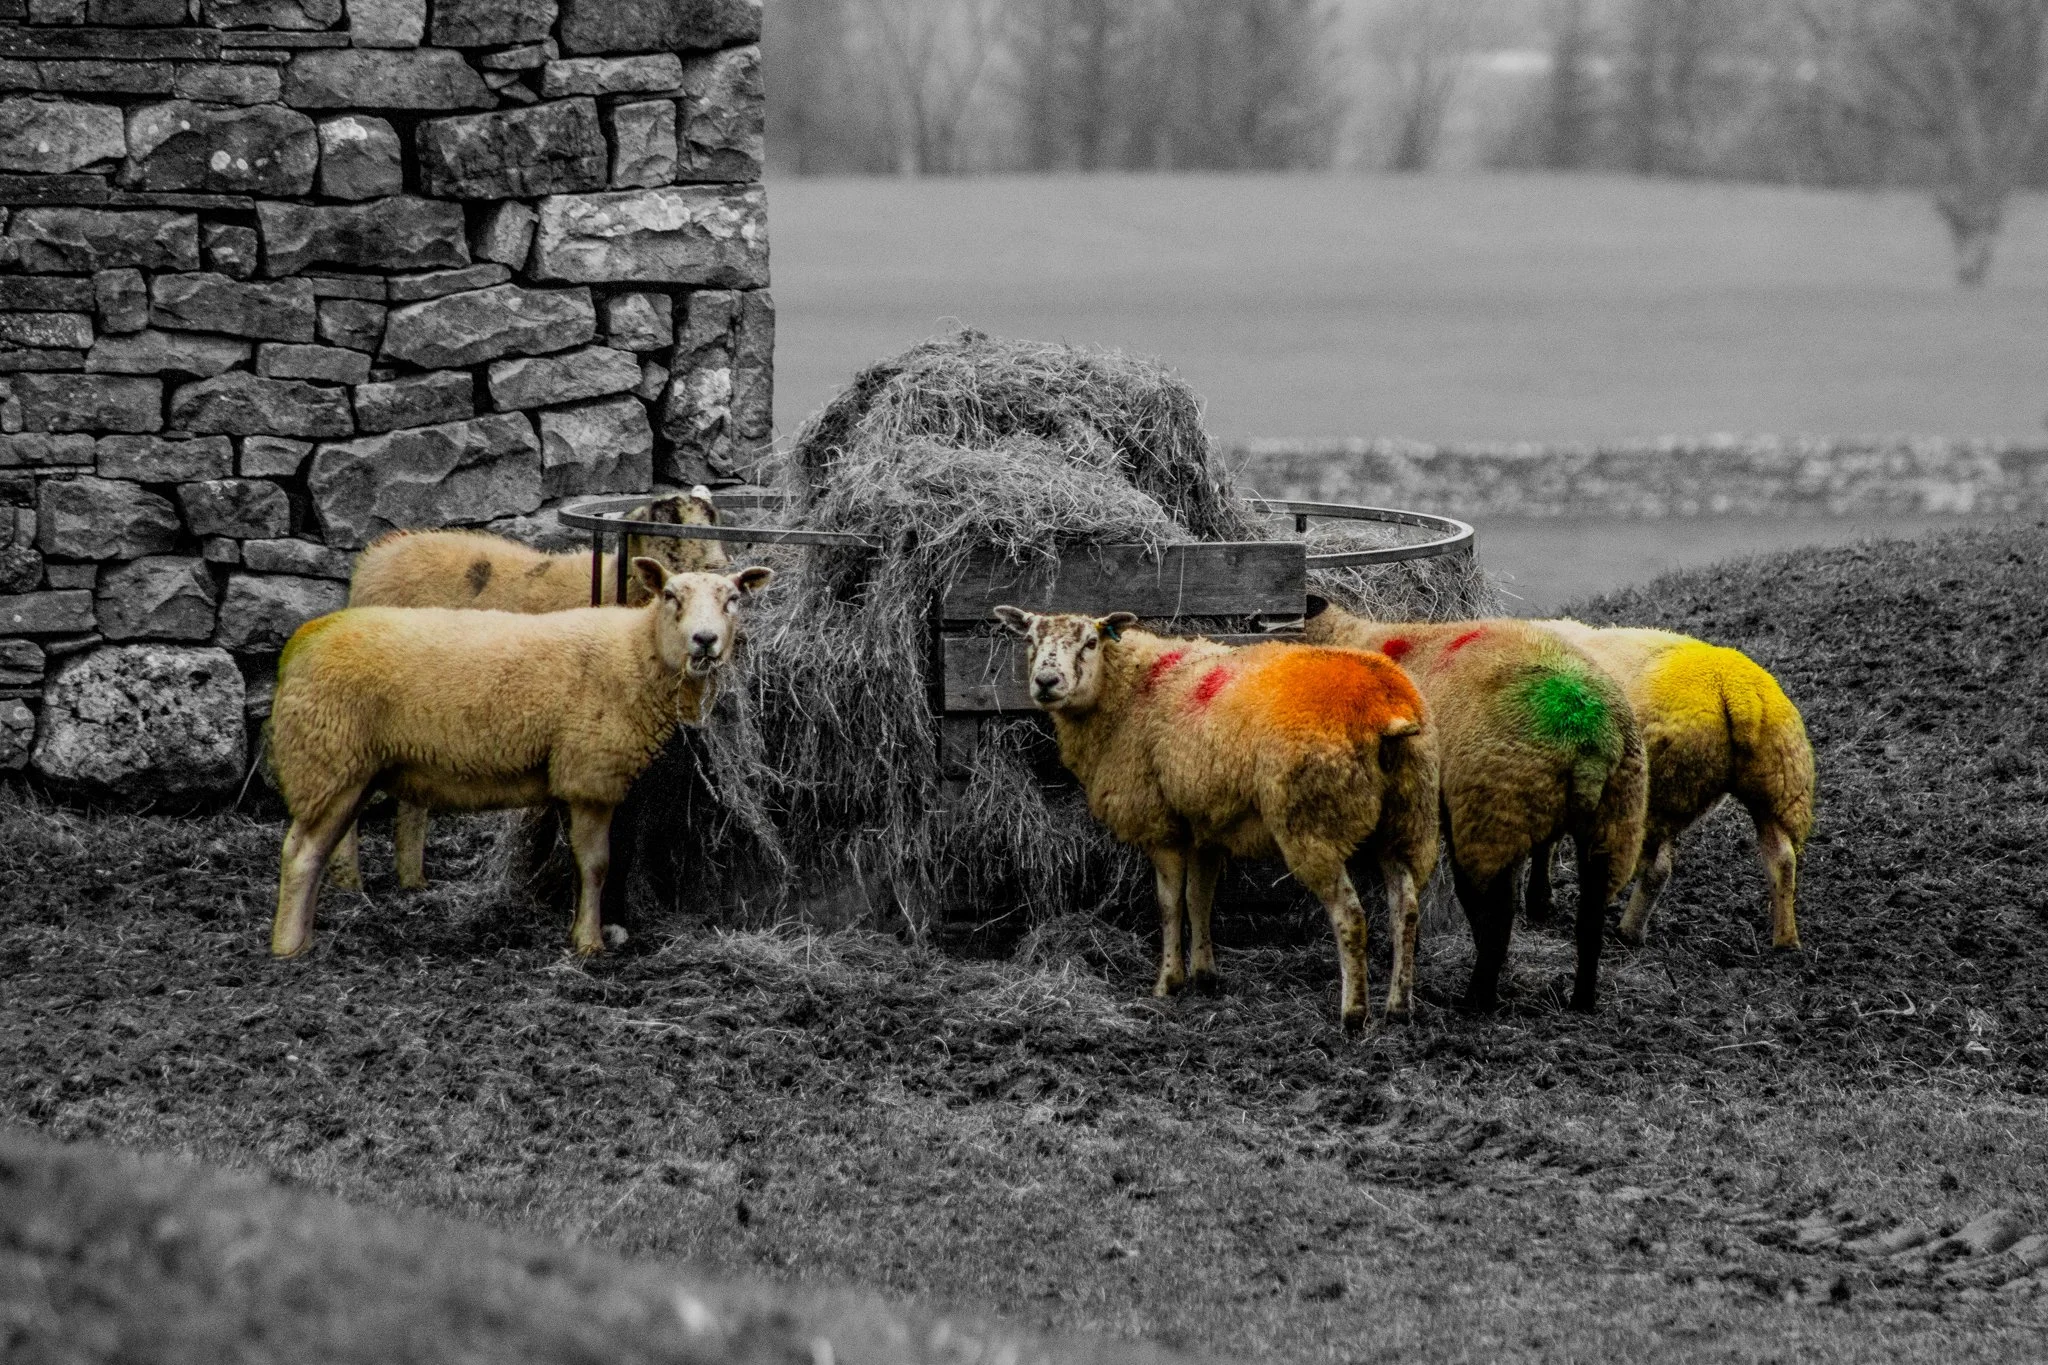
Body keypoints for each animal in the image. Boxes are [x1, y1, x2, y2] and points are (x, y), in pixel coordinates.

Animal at [266, 559, 774, 960]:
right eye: (670, 596)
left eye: (732, 599)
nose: (704, 640)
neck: (635, 651)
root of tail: (304, 638)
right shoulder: (589, 773)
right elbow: (596, 864)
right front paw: (588, 942)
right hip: (325, 756)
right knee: (300, 853)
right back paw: (289, 948)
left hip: (349, 767)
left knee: (324, 847)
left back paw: (313, 929)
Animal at [993, 607, 1440, 1030]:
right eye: (1029, 640)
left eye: (1090, 642)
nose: (1046, 681)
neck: (1129, 690)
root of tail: (1385, 708)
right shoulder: (1205, 825)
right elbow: (1199, 898)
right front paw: (1205, 975)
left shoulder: (1161, 825)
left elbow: (1169, 903)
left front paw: (1168, 982)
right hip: (1408, 821)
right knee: (1405, 909)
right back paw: (1398, 1008)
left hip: (1314, 824)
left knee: (1351, 916)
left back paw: (1353, 1014)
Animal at [1302, 602, 1647, 1013]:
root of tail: (1590, 745)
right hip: (1613, 824)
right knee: (1589, 920)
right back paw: (1581, 999)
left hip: (1492, 816)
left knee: (1497, 915)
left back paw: (1477, 998)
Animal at [1526, 622, 1813, 951]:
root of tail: (1736, 691)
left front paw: (1536, 901)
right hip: (1778, 786)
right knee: (1782, 860)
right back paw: (1786, 942)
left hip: (1657, 792)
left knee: (1655, 868)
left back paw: (1623, 930)